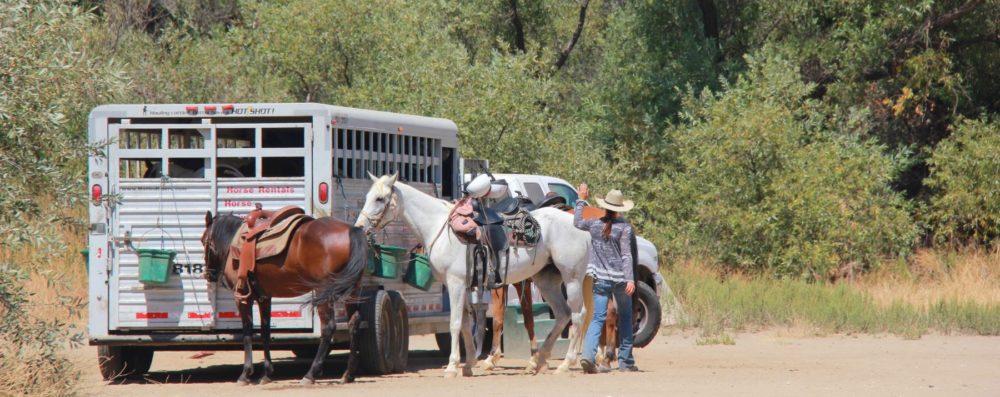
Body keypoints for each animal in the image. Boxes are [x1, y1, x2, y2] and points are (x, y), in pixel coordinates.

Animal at [201, 212, 370, 386]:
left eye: (203, 240)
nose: (209, 274)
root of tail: (351, 230)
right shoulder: (264, 297)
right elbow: (265, 332)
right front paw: (266, 373)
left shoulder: (242, 296)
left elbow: (247, 333)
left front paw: (245, 374)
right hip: (352, 291)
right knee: (354, 323)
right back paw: (348, 374)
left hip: (323, 291)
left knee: (328, 327)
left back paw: (310, 374)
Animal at [356, 172, 588, 376]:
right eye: (367, 197)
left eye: (379, 198)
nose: (359, 226)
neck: (442, 228)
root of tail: (577, 223)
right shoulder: (463, 286)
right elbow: (467, 325)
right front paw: (468, 365)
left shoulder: (456, 284)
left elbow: (455, 323)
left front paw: (452, 367)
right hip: (546, 280)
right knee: (562, 314)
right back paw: (540, 361)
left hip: (572, 279)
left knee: (578, 315)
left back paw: (565, 364)